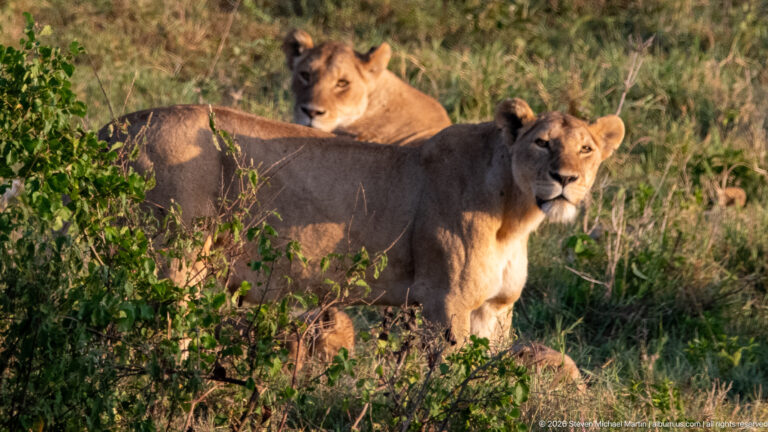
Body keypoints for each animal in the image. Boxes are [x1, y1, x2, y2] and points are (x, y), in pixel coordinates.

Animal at [101, 98, 623, 343]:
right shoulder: (444, 302)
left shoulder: (494, 310)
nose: (565, 178)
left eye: (586, 148)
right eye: (542, 143)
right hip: (172, 262)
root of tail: (116, 127)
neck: (515, 216)